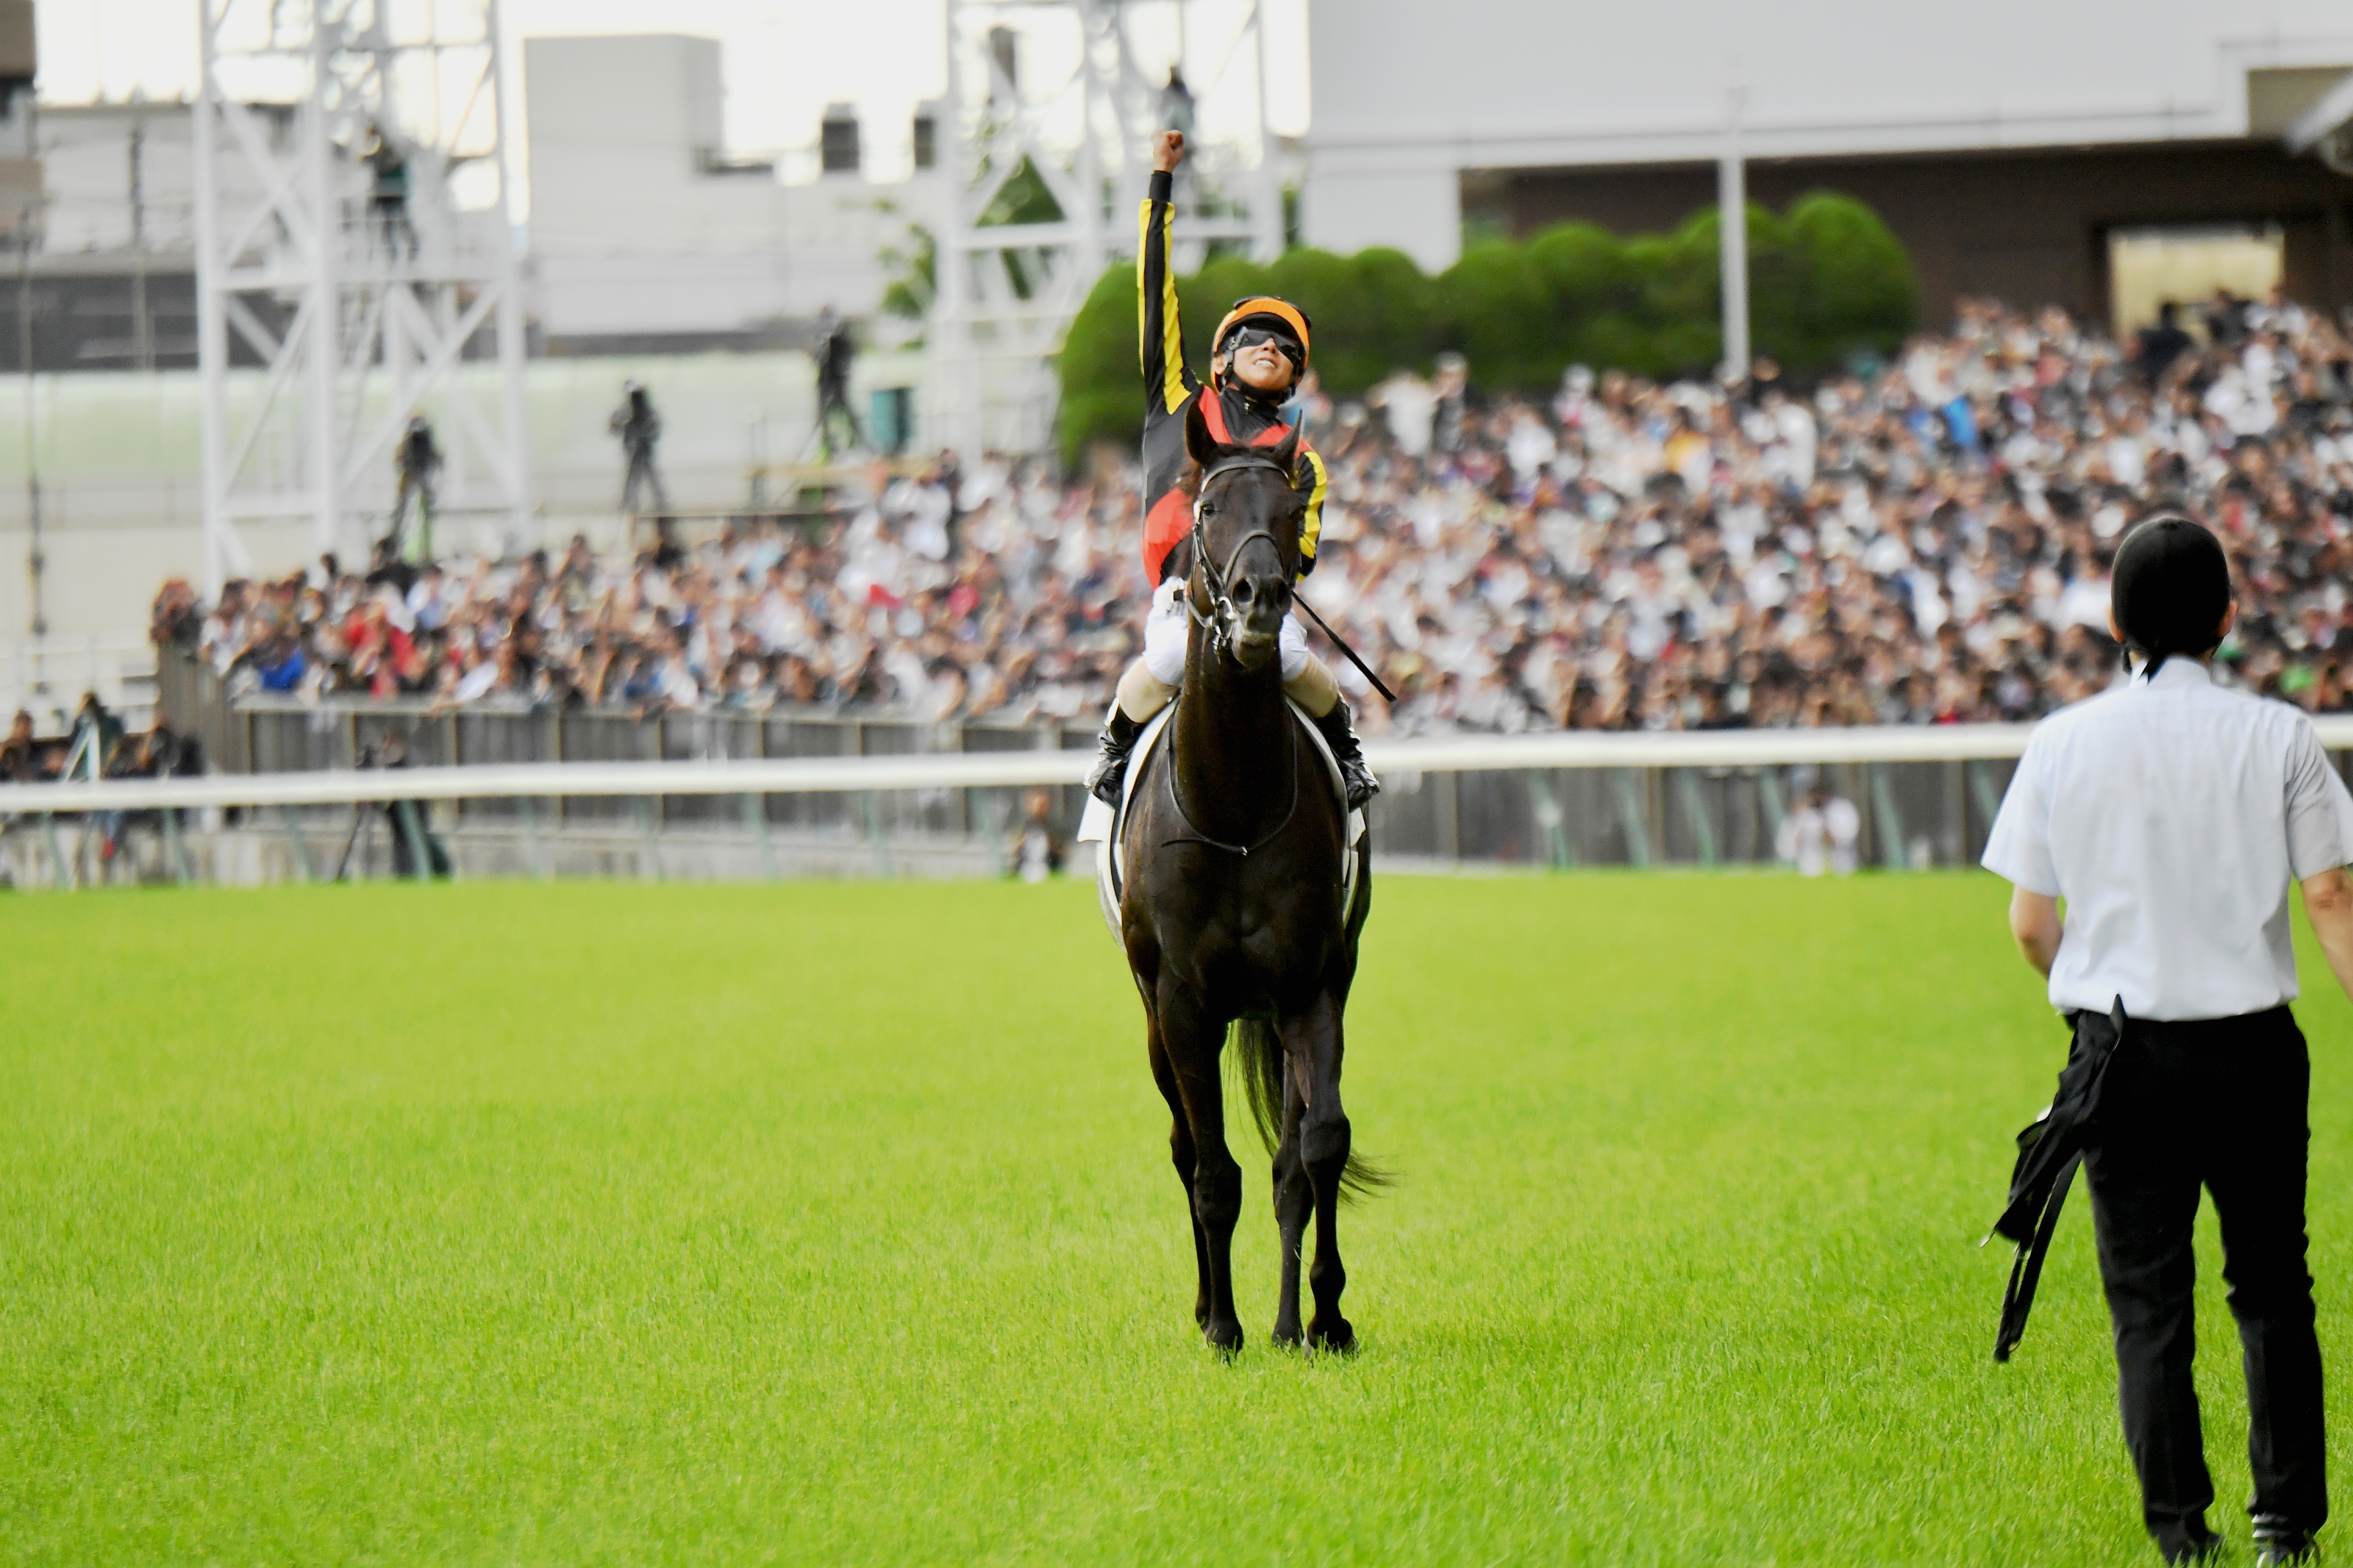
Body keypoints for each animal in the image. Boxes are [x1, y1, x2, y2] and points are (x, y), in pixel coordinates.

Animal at [1116, 396, 1379, 1354]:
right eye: (1206, 509)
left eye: (1288, 510)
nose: (1258, 596)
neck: (1232, 806)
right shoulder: (1182, 1002)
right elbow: (1211, 1169)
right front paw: (1222, 1327)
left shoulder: (1312, 984)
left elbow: (1316, 1149)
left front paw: (1320, 1317)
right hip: (1155, 1020)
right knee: (1185, 1149)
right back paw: (1207, 1307)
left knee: (1287, 1155)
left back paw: (1288, 1321)